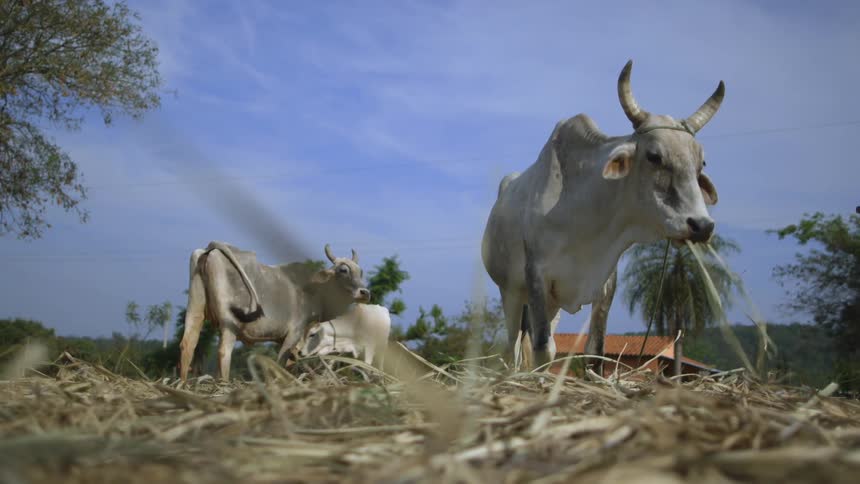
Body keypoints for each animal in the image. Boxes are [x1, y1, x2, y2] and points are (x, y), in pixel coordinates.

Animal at [179, 242, 371, 381]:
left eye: (360, 272)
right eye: (343, 270)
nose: (365, 293)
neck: (316, 291)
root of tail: (210, 248)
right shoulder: (294, 333)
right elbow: (281, 363)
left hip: (195, 308)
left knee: (188, 344)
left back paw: (182, 386)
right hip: (229, 323)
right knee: (224, 352)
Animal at [481, 59, 724, 370]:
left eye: (700, 163)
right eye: (654, 156)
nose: (701, 225)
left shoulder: (604, 285)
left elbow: (594, 351)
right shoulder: (536, 276)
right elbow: (543, 350)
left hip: (550, 305)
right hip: (511, 293)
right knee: (512, 348)